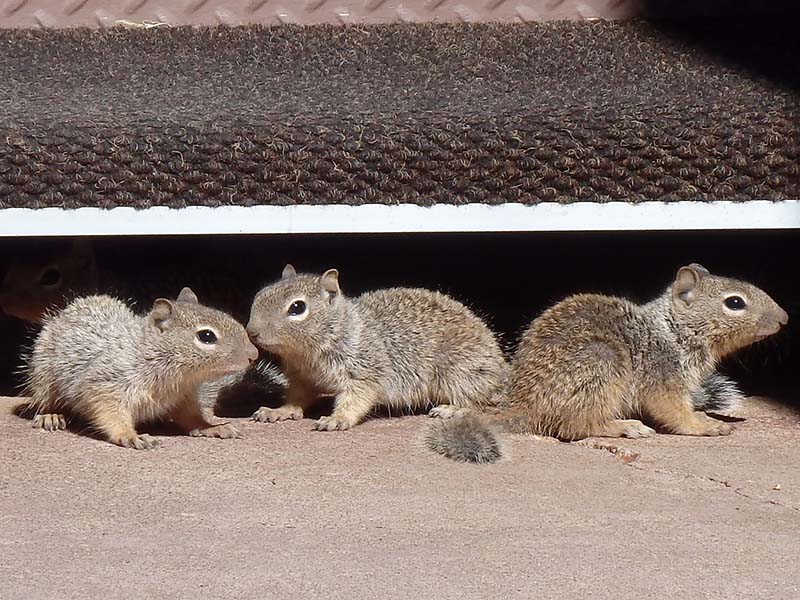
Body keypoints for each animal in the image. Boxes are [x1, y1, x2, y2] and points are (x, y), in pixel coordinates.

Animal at [24, 288, 256, 448]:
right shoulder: (106, 383)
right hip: (43, 379)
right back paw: (50, 416)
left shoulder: (183, 398)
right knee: (44, 401)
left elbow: (191, 417)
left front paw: (213, 427)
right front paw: (130, 435)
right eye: (206, 336)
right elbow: (109, 412)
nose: (254, 355)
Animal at [245, 264, 506, 428]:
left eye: (297, 307)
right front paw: (280, 411)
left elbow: (357, 398)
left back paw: (451, 409)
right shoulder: (302, 378)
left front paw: (337, 418)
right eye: (260, 294)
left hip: (460, 373)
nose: (251, 332)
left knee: (476, 402)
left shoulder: (365, 371)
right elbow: (297, 398)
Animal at [428, 264, 792, 464]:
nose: (785, 319)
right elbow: (675, 412)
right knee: (575, 427)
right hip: (601, 366)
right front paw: (705, 425)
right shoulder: (663, 378)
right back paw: (624, 426)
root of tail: (526, 408)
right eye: (735, 303)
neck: (674, 330)